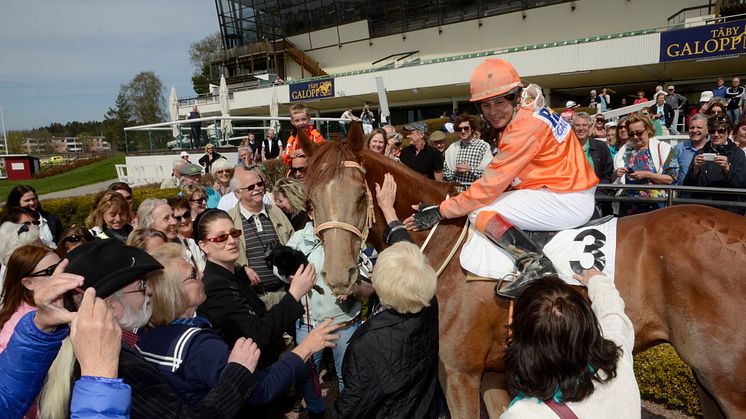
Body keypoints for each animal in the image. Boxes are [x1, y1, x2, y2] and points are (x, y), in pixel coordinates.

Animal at [296, 124, 744, 419]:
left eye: (359, 196)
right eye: (310, 199)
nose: (338, 275)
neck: (443, 243)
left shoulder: (458, 372)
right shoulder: (495, 372)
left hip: (727, 379)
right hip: (707, 379)